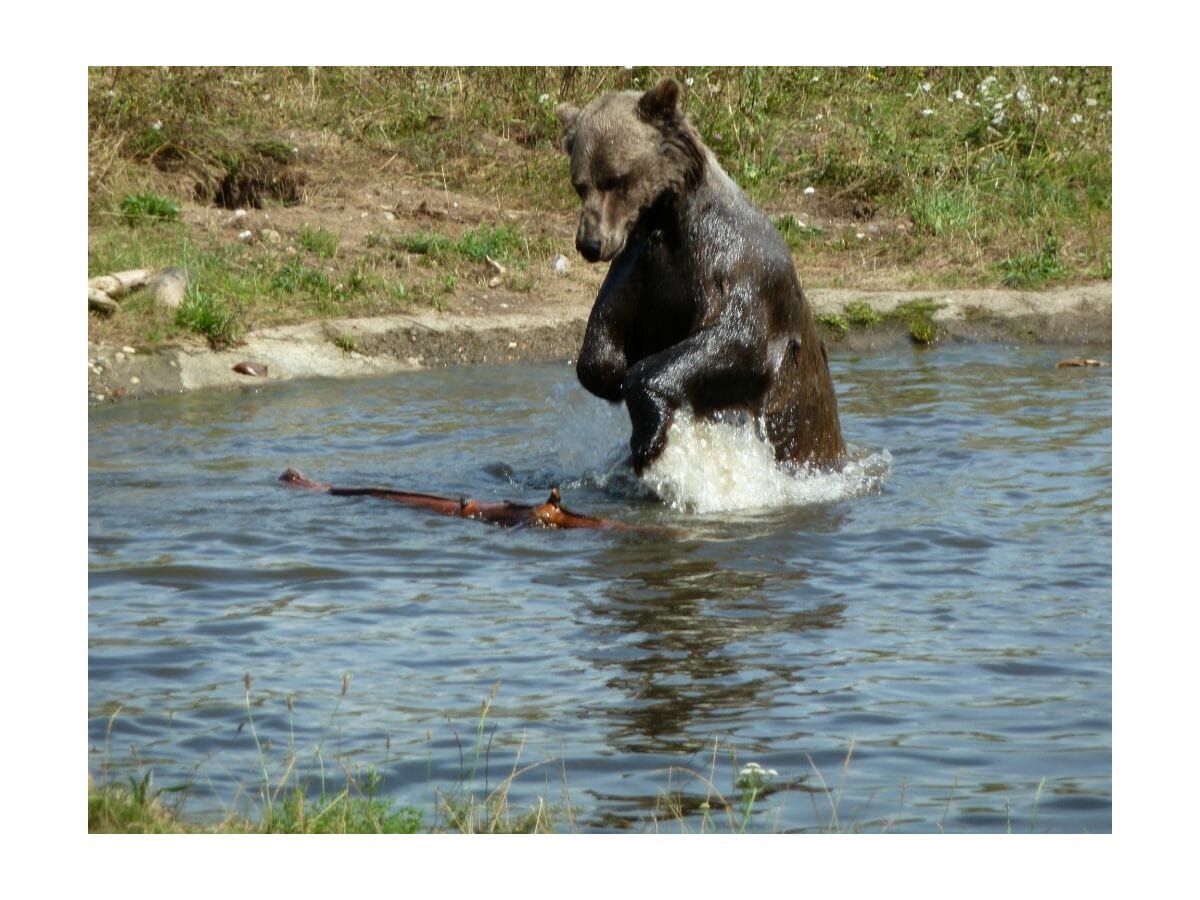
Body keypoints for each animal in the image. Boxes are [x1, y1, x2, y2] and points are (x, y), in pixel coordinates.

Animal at [559, 77, 849, 475]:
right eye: (579, 184)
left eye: (615, 179)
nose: (590, 243)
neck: (668, 217)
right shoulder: (648, 269)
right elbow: (602, 345)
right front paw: (614, 374)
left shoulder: (728, 266)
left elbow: (738, 340)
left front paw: (648, 435)